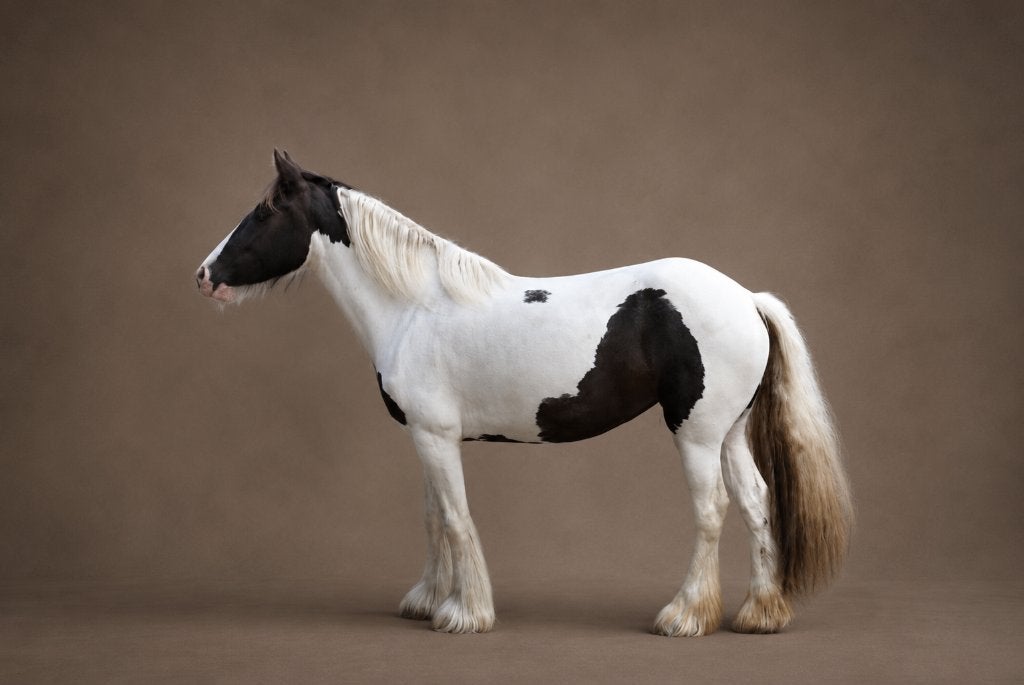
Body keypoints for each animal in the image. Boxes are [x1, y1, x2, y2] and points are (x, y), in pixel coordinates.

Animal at [195, 150, 853, 636]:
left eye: (263, 211)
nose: (204, 275)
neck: (415, 306)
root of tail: (747, 298)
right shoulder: (426, 436)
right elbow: (433, 516)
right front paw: (427, 600)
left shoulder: (436, 435)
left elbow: (455, 517)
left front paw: (465, 614)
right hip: (729, 433)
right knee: (756, 502)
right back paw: (760, 614)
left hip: (695, 433)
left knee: (712, 509)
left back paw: (685, 615)